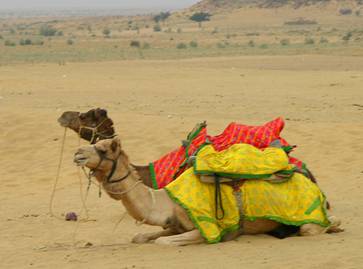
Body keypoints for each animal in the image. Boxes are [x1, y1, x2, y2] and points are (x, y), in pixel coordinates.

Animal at [74, 137, 344, 244]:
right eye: (94, 143)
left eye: (104, 149)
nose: (77, 153)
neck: (165, 202)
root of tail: (312, 183)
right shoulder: (174, 224)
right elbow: (140, 236)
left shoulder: (204, 229)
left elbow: (163, 242)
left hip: (307, 214)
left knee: (317, 225)